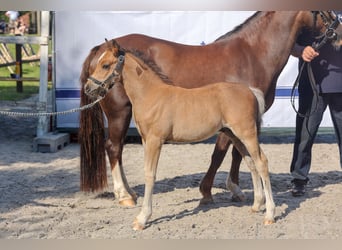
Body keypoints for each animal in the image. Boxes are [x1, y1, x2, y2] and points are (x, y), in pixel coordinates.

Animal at [79, 11, 342, 206]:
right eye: (325, 10)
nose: (338, 32)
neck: (252, 54)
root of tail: (98, 49)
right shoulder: (230, 121)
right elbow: (221, 154)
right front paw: (209, 191)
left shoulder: (241, 120)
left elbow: (237, 154)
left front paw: (235, 188)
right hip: (119, 113)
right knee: (113, 147)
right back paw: (124, 195)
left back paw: (130, 192)